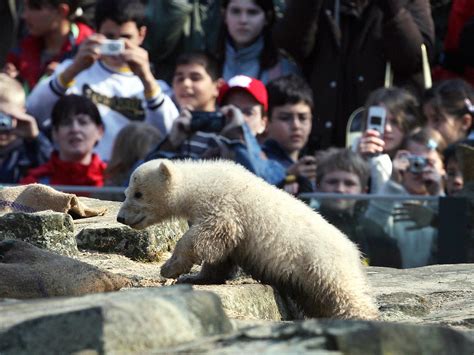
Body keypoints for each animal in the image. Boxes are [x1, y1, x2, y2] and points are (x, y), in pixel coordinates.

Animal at [116, 159, 380, 320]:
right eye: (126, 192)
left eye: (138, 194)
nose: (120, 217)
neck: (201, 181)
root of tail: (353, 250)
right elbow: (221, 254)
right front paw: (197, 277)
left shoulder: (222, 204)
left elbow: (206, 235)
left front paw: (171, 268)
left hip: (321, 263)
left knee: (345, 295)